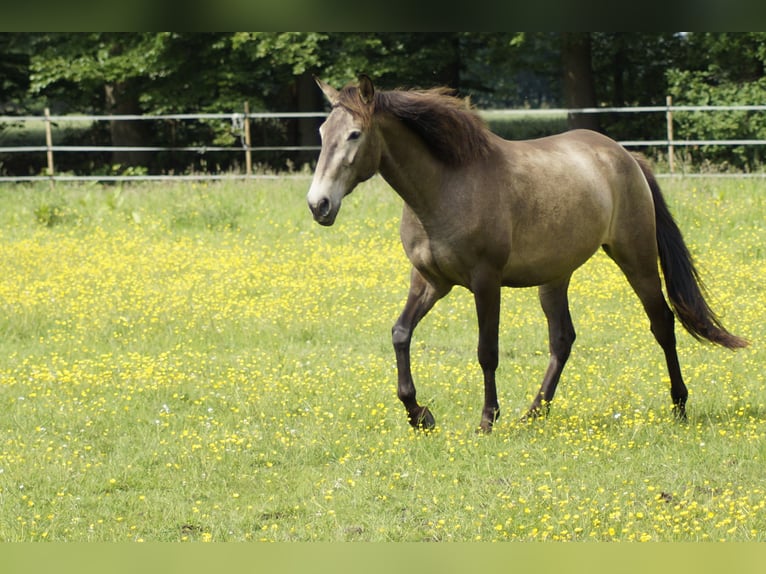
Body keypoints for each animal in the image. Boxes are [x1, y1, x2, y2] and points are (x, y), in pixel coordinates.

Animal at [308, 75, 752, 432]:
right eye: (322, 131)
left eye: (354, 135)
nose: (319, 205)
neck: (446, 187)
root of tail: (626, 156)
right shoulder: (430, 281)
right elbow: (401, 334)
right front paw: (420, 415)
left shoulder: (486, 282)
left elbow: (487, 351)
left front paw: (487, 420)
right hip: (555, 276)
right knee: (563, 339)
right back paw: (534, 412)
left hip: (636, 258)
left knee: (661, 323)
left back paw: (679, 406)